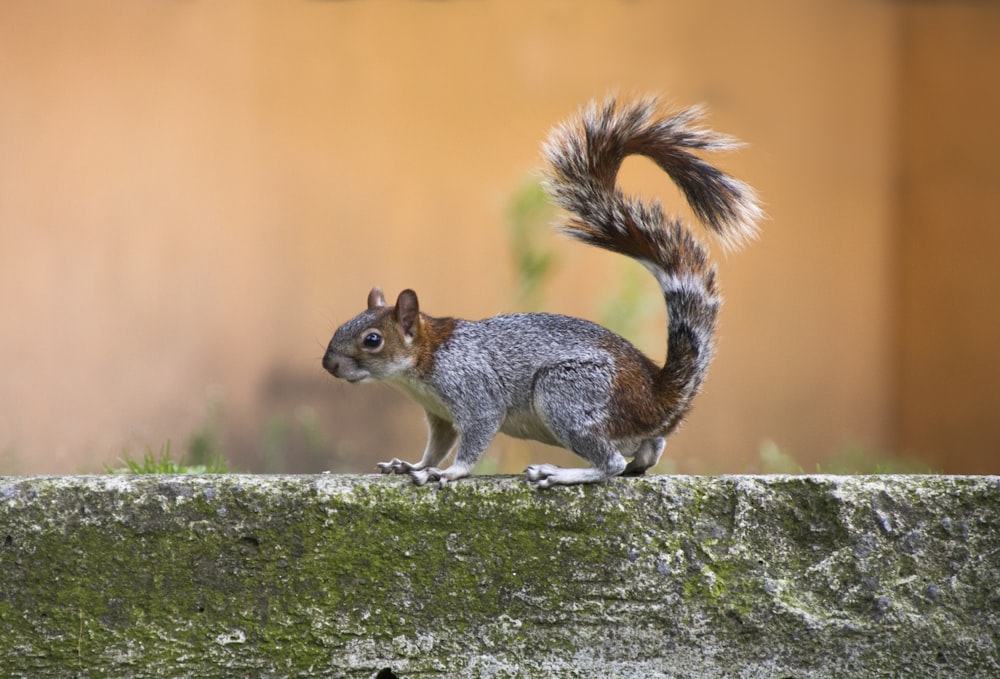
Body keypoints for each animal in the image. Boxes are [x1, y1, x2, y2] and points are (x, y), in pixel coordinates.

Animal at [324, 97, 760, 488]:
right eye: (344, 324)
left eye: (372, 339)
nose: (329, 365)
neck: (425, 361)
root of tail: (658, 398)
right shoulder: (440, 415)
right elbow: (435, 446)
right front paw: (412, 466)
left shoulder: (474, 394)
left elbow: (472, 440)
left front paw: (448, 472)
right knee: (647, 450)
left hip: (567, 393)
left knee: (611, 463)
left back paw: (560, 473)